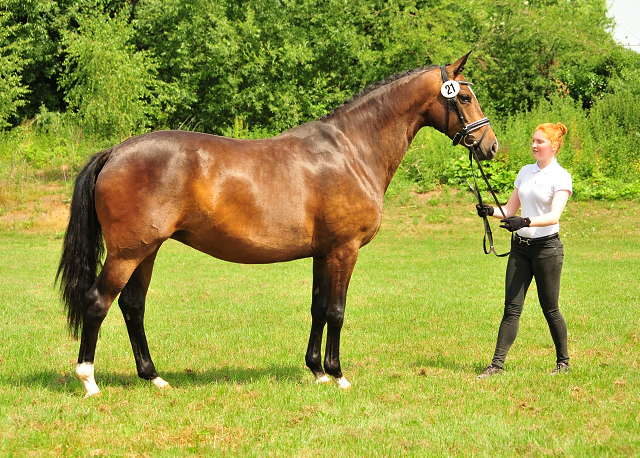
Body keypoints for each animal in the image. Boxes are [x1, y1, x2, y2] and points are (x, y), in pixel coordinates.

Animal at [57, 52, 498, 398]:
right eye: (466, 97)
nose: (490, 145)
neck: (351, 150)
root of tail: (116, 151)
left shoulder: (323, 253)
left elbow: (318, 308)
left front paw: (317, 371)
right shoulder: (345, 250)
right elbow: (337, 310)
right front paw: (338, 375)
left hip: (147, 250)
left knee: (133, 306)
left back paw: (154, 378)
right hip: (128, 252)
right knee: (98, 302)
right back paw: (89, 380)